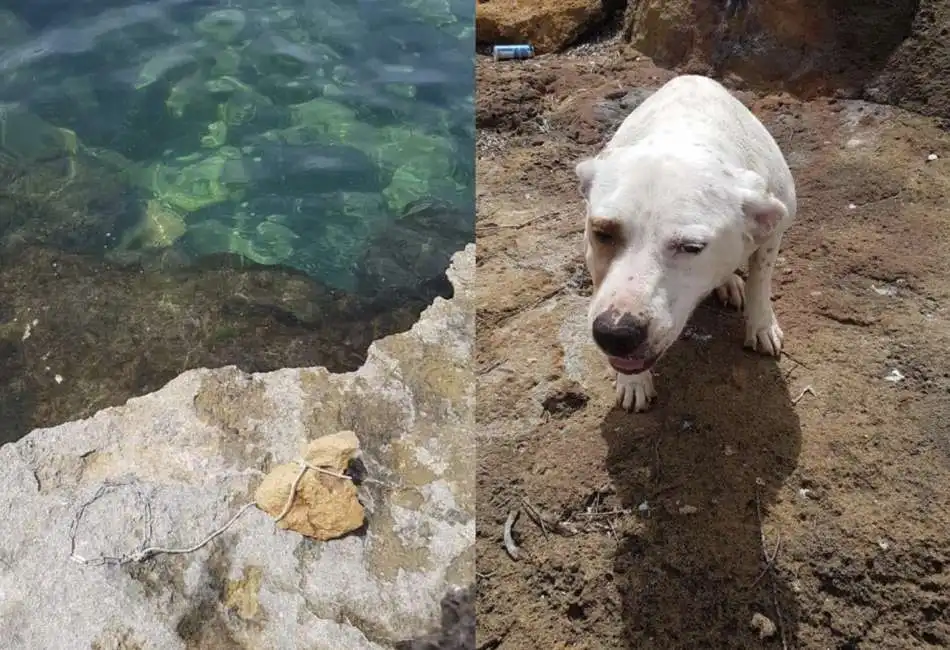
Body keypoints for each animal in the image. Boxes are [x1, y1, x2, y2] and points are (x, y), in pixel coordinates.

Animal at [576, 74, 800, 410]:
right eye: (602, 233)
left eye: (692, 248)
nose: (615, 333)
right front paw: (633, 382)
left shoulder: (775, 226)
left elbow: (760, 280)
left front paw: (761, 325)